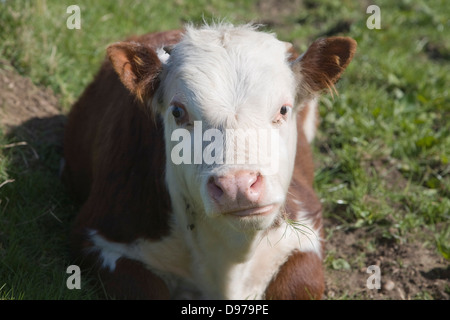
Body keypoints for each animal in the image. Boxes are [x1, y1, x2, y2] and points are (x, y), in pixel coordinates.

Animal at [62, 23, 356, 300]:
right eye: (177, 111)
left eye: (283, 109)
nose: (237, 186)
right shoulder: (101, 236)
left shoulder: (306, 228)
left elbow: (298, 284)